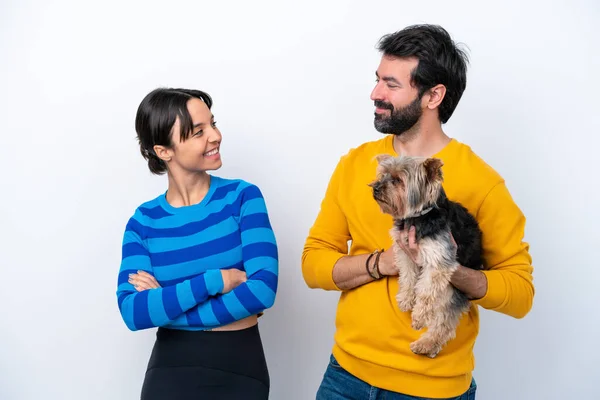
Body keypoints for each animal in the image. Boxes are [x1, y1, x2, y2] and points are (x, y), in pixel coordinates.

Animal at [370, 155, 482, 358]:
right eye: (383, 175)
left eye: (398, 180)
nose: (375, 187)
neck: (418, 217)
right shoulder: (405, 253)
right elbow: (407, 277)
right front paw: (406, 300)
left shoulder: (438, 260)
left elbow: (426, 292)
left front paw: (418, 317)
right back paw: (427, 347)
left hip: (452, 291)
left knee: (443, 324)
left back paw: (426, 344)